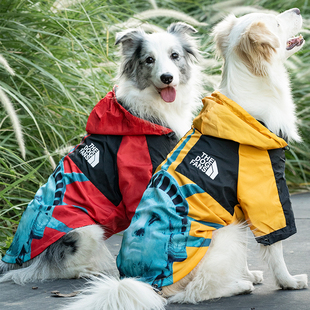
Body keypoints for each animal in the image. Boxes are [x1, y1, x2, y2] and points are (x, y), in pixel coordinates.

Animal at [0, 21, 203, 284]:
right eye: (149, 60)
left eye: (174, 56)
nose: (167, 77)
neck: (147, 112)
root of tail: (16, 257)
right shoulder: (140, 180)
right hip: (85, 231)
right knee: (54, 269)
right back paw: (92, 271)